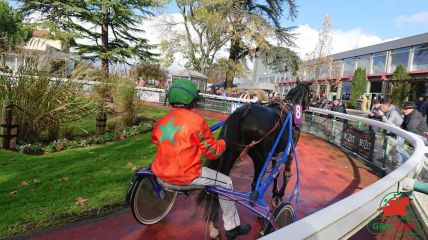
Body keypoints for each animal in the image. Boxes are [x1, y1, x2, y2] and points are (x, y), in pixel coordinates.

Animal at [197, 82, 310, 238]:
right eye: (310, 94)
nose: (308, 107)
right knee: (255, 185)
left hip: (232, 150)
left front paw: (275, 193)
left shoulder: (276, 150)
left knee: (219, 182)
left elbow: (275, 172)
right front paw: (279, 196)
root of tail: (244, 112)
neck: (290, 110)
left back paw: (215, 226)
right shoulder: (290, 151)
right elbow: (286, 174)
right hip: (259, 157)